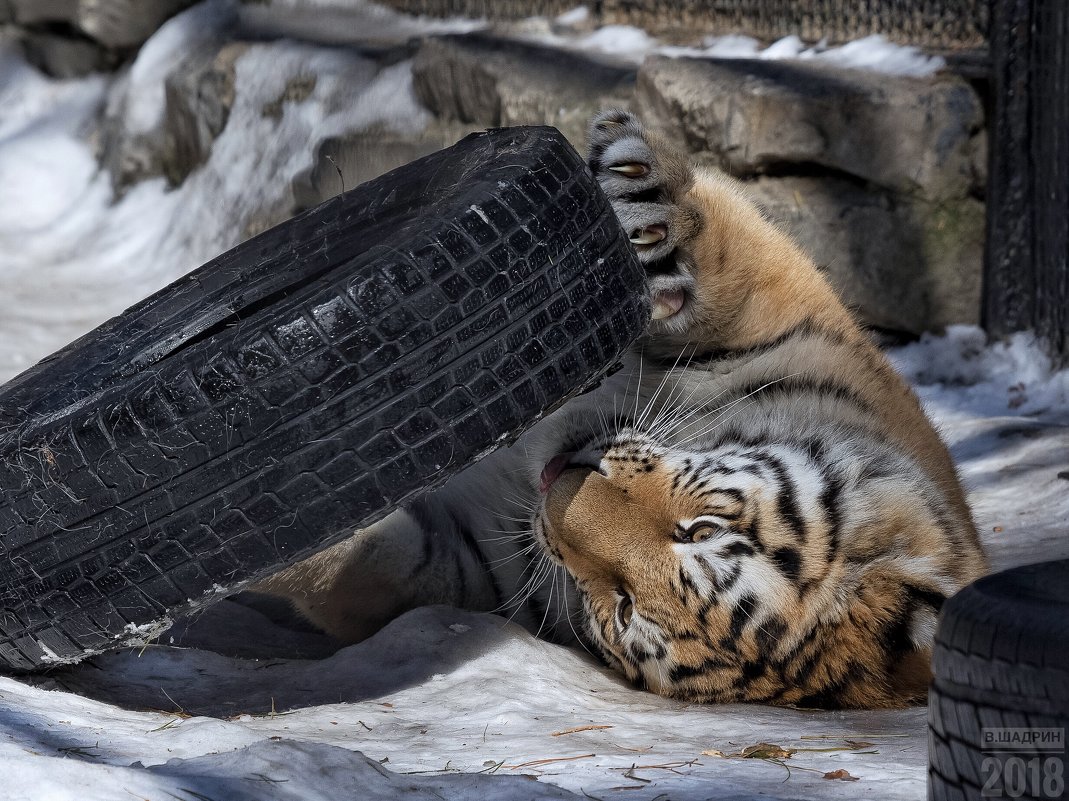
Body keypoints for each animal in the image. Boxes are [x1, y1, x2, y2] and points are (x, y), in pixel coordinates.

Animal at [256, 109, 983, 710]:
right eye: (700, 528)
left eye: (623, 607)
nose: (557, 490)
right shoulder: (808, 329)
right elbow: (738, 267)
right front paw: (649, 202)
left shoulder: (478, 569)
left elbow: (371, 569)